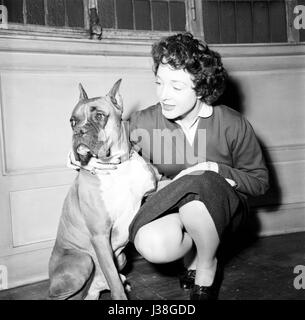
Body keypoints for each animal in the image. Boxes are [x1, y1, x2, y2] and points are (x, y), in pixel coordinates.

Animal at [48, 80, 158, 300]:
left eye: (99, 116)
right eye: (72, 121)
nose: (78, 131)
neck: (117, 167)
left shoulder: (150, 191)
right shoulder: (100, 236)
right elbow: (114, 284)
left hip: (121, 258)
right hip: (83, 261)